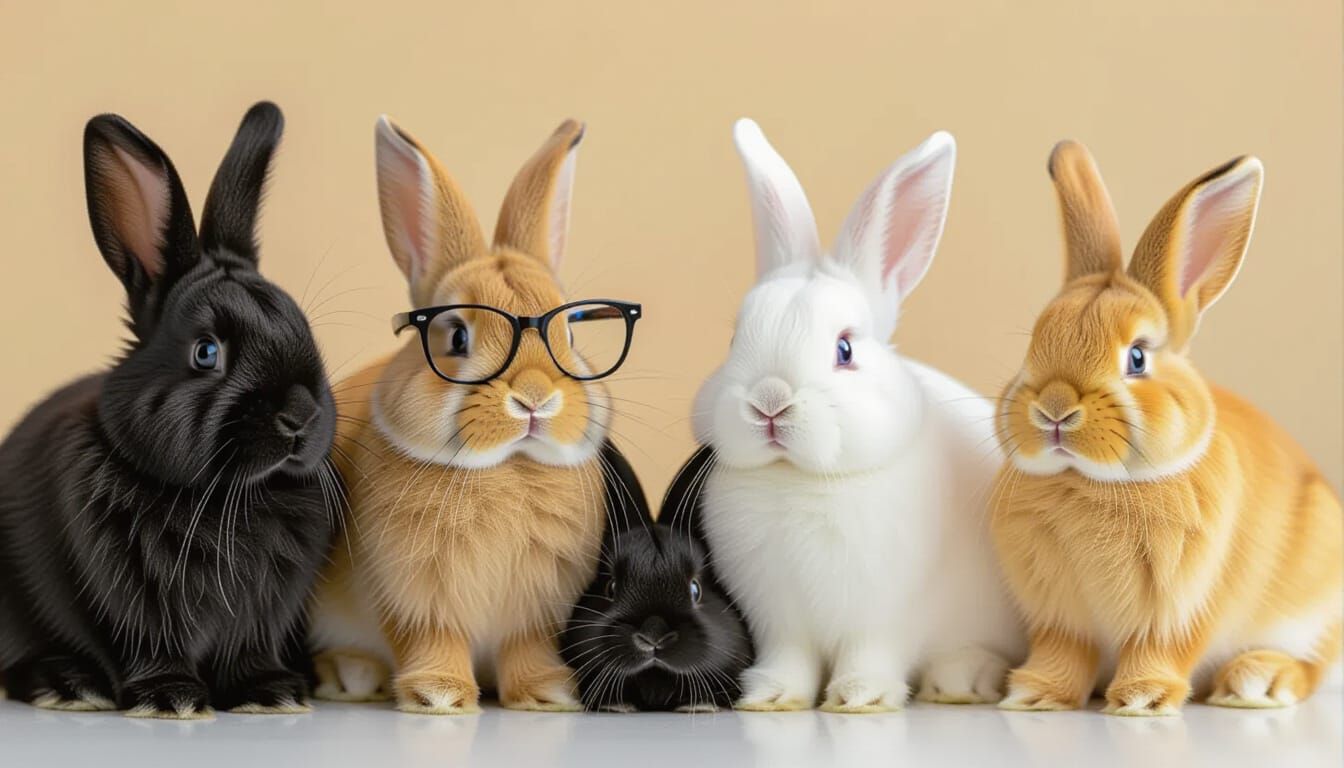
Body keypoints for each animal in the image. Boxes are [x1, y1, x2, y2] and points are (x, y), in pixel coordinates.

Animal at [0, 102, 338, 719]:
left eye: (302, 327)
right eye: (206, 352)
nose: (300, 416)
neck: (226, 498)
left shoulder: (263, 614)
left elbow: (250, 650)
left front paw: (271, 694)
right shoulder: (131, 601)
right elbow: (150, 645)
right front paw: (171, 699)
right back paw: (69, 685)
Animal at [308, 117, 643, 714]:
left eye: (570, 334)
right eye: (457, 337)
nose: (534, 397)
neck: (508, 468)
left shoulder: (536, 610)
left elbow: (525, 648)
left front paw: (548, 694)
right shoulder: (412, 597)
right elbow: (431, 639)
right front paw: (438, 696)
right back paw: (352, 676)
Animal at [690, 119, 1024, 713]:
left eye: (845, 350)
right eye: (733, 339)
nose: (770, 400)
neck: (799, 479)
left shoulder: (887, 617)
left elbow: (871, 655)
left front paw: (858, 698)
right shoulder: (778, 620)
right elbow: (789, 660)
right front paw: (772, 696)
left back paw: (960, 679)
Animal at [991, 141, 1342, 716]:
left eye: (1136, 357)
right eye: (1036, 342)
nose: (1054, 409)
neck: (1088, 482)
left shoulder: (1182, 609)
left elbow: (1161, 650)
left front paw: (1140, 700)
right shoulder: (1060, 616)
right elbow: (1063, 653)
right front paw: (1034, 695)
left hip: (1317, 603)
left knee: (1314, 665)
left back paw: (1258, 680)